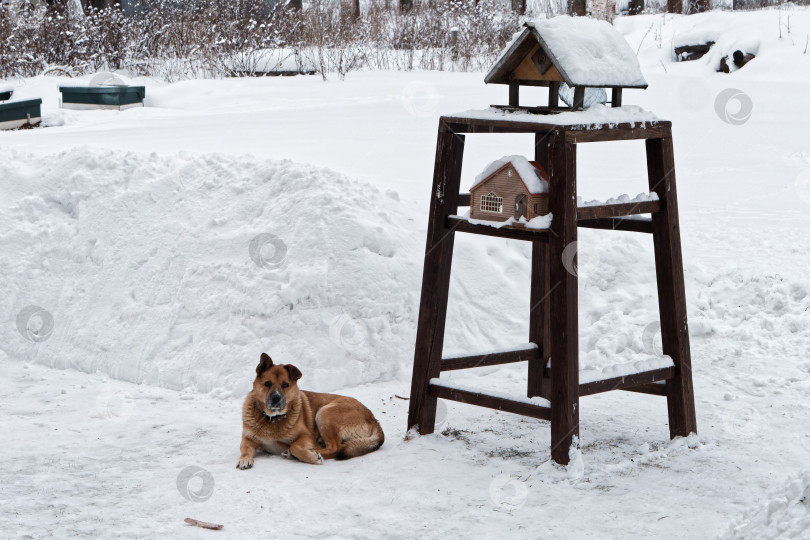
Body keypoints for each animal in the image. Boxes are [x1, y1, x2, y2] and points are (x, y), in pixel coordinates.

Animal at [235, 352, 384, 466]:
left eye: (285, 385)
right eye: (267, 384)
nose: (276, 398)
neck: (272, 419)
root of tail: (373, 418)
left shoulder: (306, 436)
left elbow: (295, 446)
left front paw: (311, 457)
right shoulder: (248, 439)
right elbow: (244, 449)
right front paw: (244, 459)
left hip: (325, 413)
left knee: (336, 448)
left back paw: (306, 453)